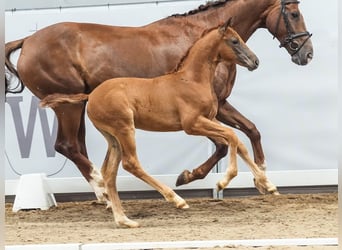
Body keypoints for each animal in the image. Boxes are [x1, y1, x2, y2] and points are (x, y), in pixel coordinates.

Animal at [4, 0, 312, 199]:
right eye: (294, 13)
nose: (306, 53)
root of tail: (26, 42)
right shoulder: (204, 112)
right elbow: (224, 145)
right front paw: (187, 176)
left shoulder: (219, 104)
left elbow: (250, 130)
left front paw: (264, 179)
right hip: (69, 106)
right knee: (67, 145)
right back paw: (103, 191)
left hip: (77, 107)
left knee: (76, 145)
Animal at [40, 23, 278, 227]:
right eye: (234, 41)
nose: (255, 61)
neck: (192, 80)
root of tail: (91, 95)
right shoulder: (192, 124)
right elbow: (232, 136)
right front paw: (223, 182)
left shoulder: (209, 119)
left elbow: (237, 142)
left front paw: (267, 185)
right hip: (125, 129)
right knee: (131, 164)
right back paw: (176, 200)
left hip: (113, 138)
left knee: (109, 172)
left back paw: (124, 220)